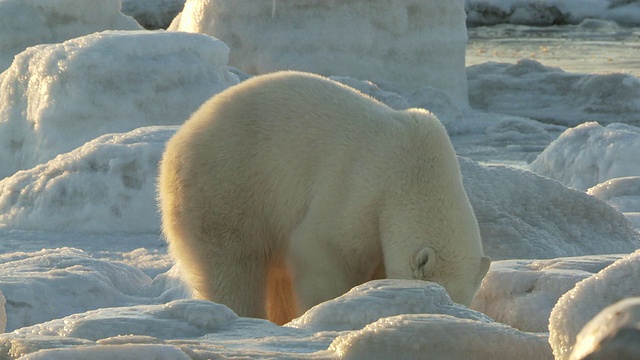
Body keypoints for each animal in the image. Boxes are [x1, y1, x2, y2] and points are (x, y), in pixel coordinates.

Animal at [159, 70, 490, 324]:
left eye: (459, 301)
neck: (417, 170)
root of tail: (179, 138)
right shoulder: (359, 189)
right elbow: (322, 251)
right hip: (228, 187)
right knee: (232, 265)